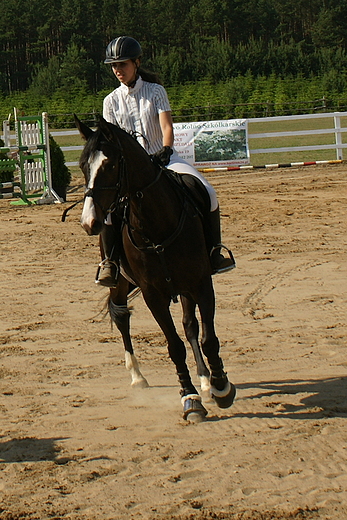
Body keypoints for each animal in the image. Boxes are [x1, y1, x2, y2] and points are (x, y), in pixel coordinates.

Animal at [73, 115, 237, 422]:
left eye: (110, 165)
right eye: (82, 165)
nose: (89, 223)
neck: (156, 224)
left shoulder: (200, 284)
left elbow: (206, 337)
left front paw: (220, 387)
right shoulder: (153, 295)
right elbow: (174, 346)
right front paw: (190, 399)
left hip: (184, 287)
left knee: (190, 326)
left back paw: (206, 380)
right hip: (120, 283)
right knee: (122, 318)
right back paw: (138, 376)